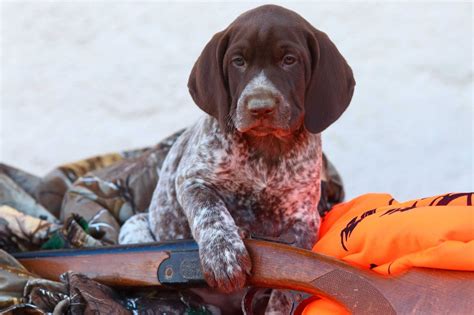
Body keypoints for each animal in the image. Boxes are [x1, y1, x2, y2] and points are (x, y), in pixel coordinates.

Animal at [120, 4, 354, 314]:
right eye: (238, 61)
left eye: (289, 60)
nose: (260, 107)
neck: (266, 149)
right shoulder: (192, 180)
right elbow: (211, 211)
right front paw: (224, 256)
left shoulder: (303, 217)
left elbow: (290, 281)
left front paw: (279, 305)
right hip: (135, 225)